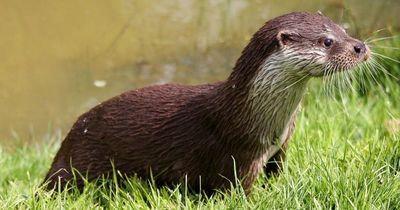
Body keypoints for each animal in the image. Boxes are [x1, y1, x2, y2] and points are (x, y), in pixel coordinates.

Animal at [42, 11, 370, 194]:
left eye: (343, 29)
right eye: (327, 41)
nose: (361, 47)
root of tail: (65, 145)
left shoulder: (280, 149)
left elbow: (277, 173)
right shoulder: (240, 157)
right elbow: (239, 191)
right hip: (79, 163)